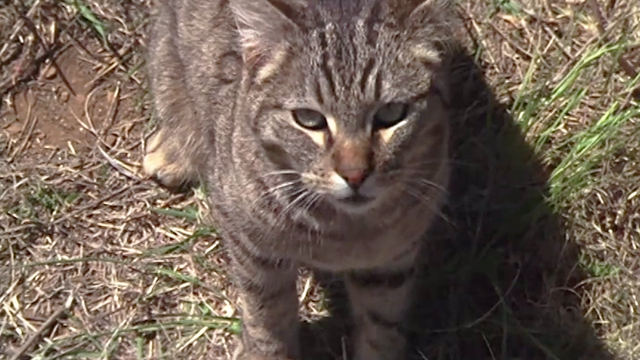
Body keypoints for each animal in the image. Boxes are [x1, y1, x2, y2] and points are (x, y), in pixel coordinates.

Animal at [143, 1, 458, 358]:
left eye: (391, 114)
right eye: (308, 119)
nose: (355, 174)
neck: (345, 234)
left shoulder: (393, 258)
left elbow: (382, 323)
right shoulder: (251, 249)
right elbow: (268, 316)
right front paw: (266, 351)